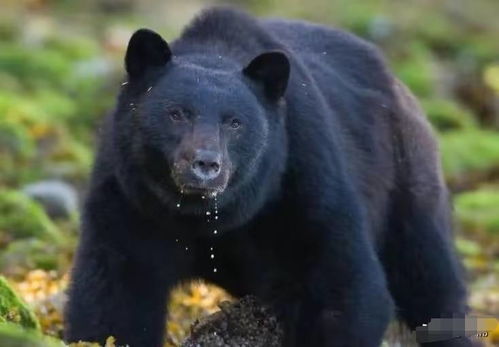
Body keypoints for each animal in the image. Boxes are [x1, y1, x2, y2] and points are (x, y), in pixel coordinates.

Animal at [63, 6, 472, 347]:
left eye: (234, 122)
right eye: (176, 113)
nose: (206, 164)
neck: (207, 217)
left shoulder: (305, 183)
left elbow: (346, 286)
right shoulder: (130, 201)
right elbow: (115, 295)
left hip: (406, 179)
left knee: (431, 278)